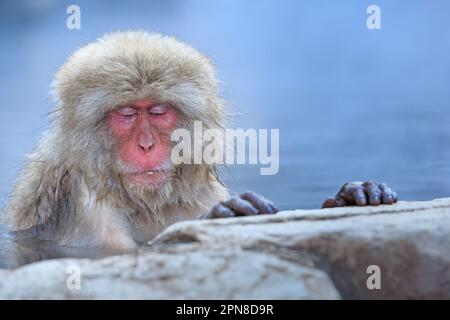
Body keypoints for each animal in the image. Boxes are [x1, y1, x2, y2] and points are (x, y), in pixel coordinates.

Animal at [2, 31, 398, 251]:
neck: (141, 202)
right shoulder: (81, 199)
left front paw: (350, 196)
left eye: (158, 111)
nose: (146, 146)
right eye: (127, 114)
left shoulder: (196, 191)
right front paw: (227, 212)